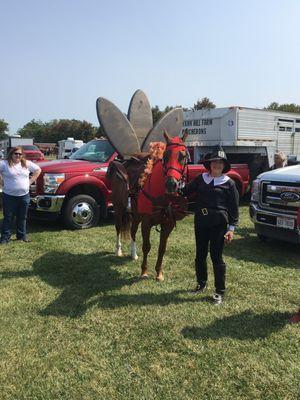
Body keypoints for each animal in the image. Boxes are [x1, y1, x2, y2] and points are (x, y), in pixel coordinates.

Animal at [106, 131, 188, 282]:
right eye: (165, 156)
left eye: (183, 156)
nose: (171, 184)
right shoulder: (146, 222)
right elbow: (146, 246)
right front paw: (144, 271)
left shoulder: (167, 224)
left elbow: (162, 248)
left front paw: (159, 273)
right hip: (119, 209)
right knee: (118, 228)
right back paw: (118, 250)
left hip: (136, 215)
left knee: (132, 232)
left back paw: (133, 254)